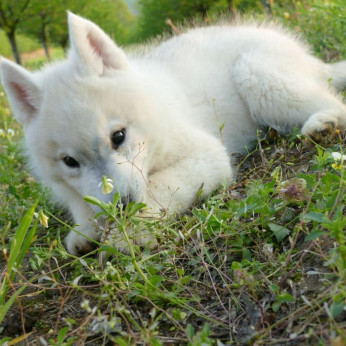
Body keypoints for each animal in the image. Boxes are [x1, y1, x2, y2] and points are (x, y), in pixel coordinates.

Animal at [0, 12, 346, 254]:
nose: (121, 206)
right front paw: (87, 230)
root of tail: (312, 62)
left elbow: (159, 187)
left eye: (118, 137)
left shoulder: (207, 155)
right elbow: (83, 203)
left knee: (332, 102)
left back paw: (322, 124)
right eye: (70, 162)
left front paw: (131, 232)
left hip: (258, 75)